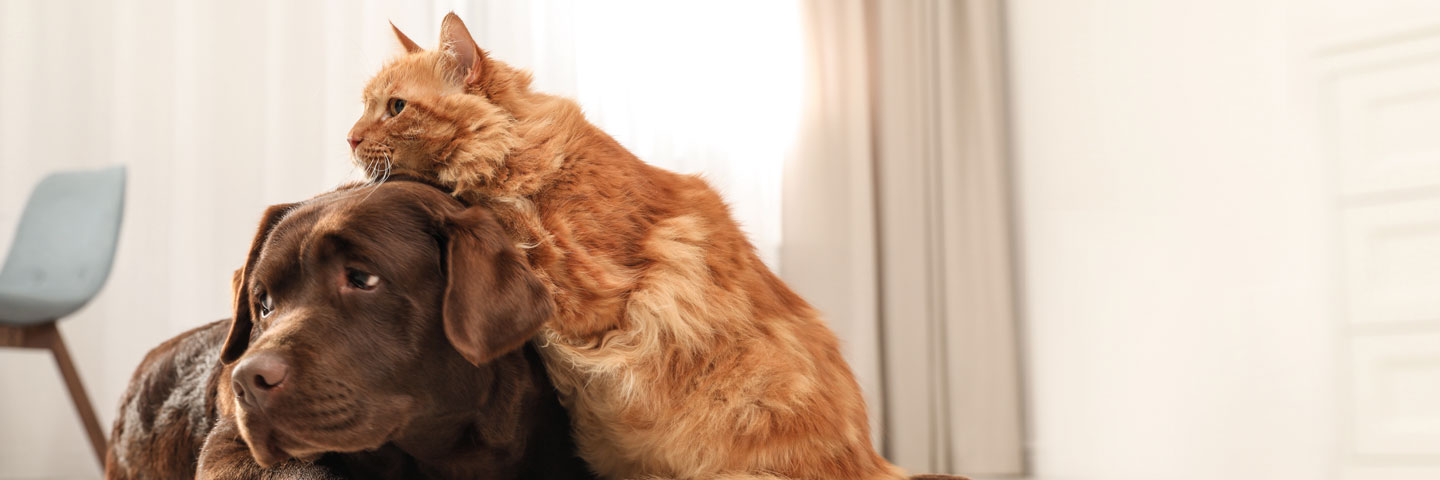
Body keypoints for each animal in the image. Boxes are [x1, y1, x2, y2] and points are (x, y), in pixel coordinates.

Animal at [347, 13, 898, 475]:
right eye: (365, 107)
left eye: (395, 108)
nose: (349, 139)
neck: (524, 147)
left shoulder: (589, 286)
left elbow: (498, 211)